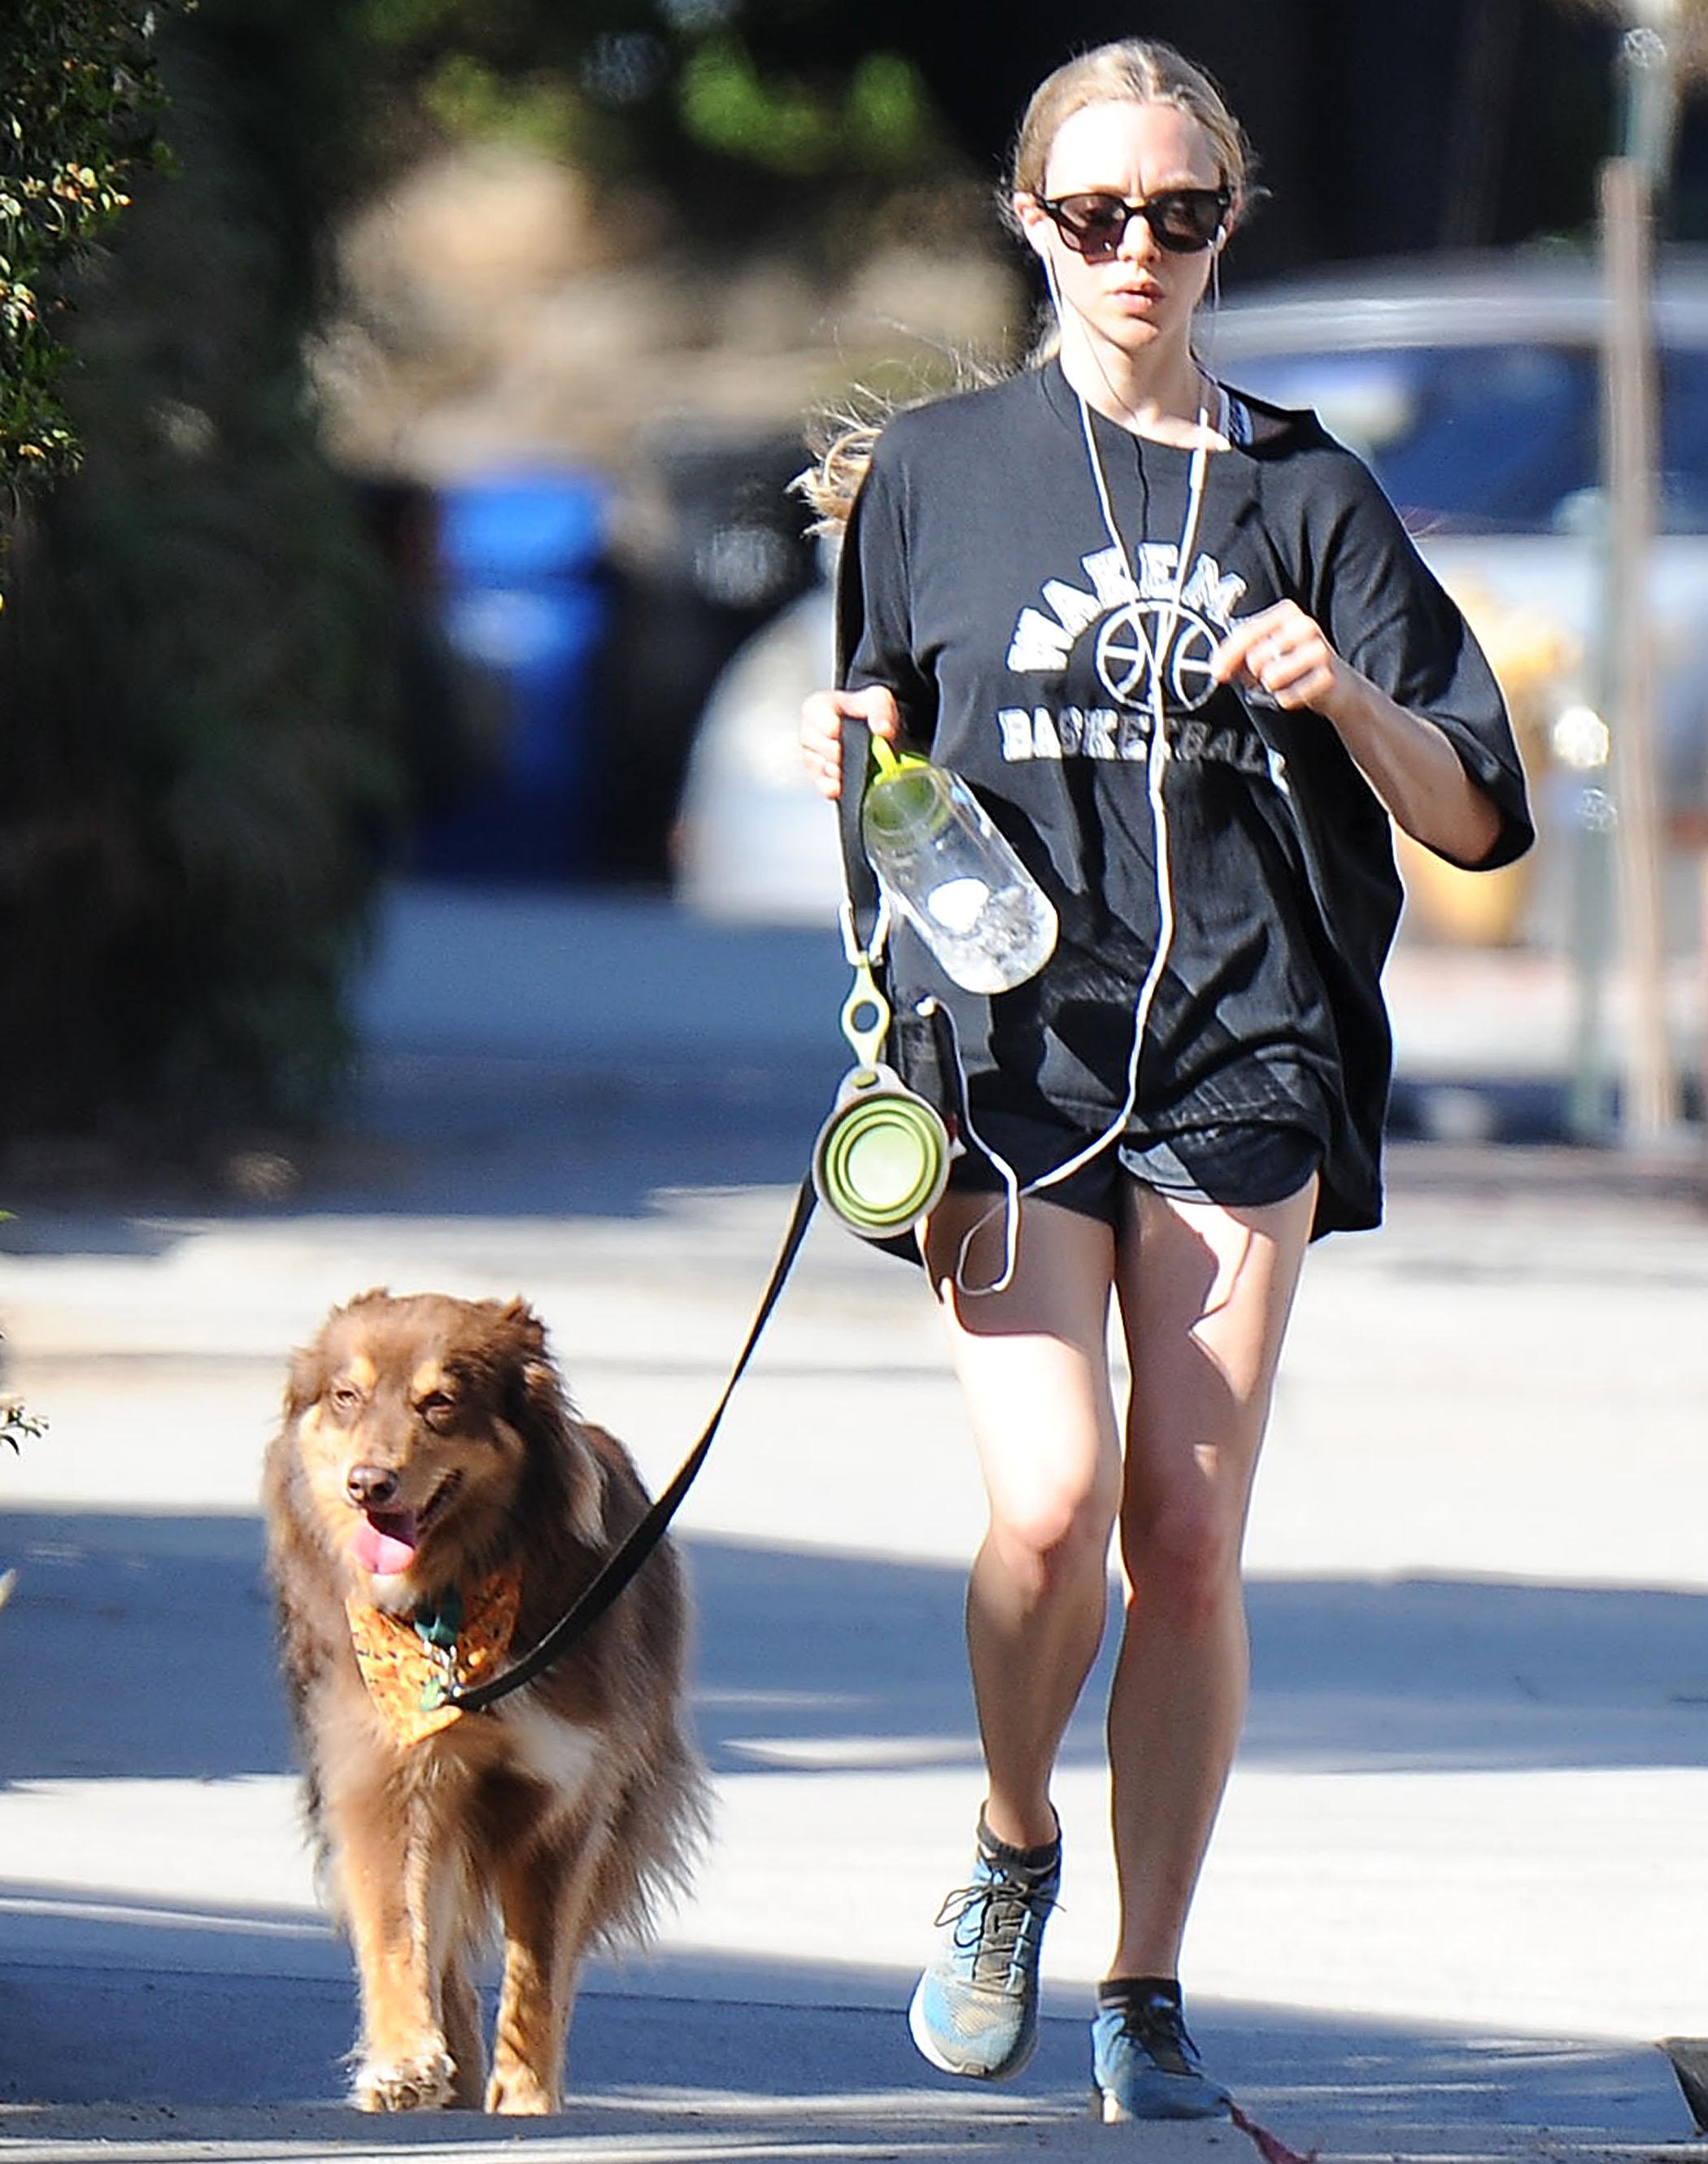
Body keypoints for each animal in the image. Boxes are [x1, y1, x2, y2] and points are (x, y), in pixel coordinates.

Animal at [262, 1289, 701, 2103]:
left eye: (440, 1402)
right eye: (346, 1397)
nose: (368, 1483)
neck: (450, 1605)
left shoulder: (566, 1797)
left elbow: (538, 1973)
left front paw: (526, 2096)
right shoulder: (381, 1774)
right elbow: (399, 1930)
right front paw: (404, 2060)